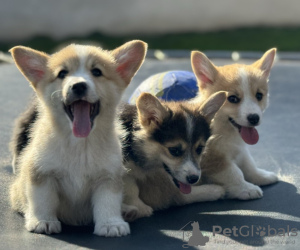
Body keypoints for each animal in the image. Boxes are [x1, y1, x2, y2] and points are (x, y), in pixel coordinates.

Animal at [118, 91, 226, 221]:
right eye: (174, 150)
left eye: (199, 149)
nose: (194, 179)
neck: (132, 139)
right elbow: (131, 188)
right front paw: (140, 207)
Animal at [192, 47, 278, 199]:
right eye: (232, 99)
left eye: (259, 96)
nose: (254, 118)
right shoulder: (213, 158)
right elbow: (233, 173)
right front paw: (246, 188)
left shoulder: (240, 149)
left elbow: (248, 164)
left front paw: (261, 176)